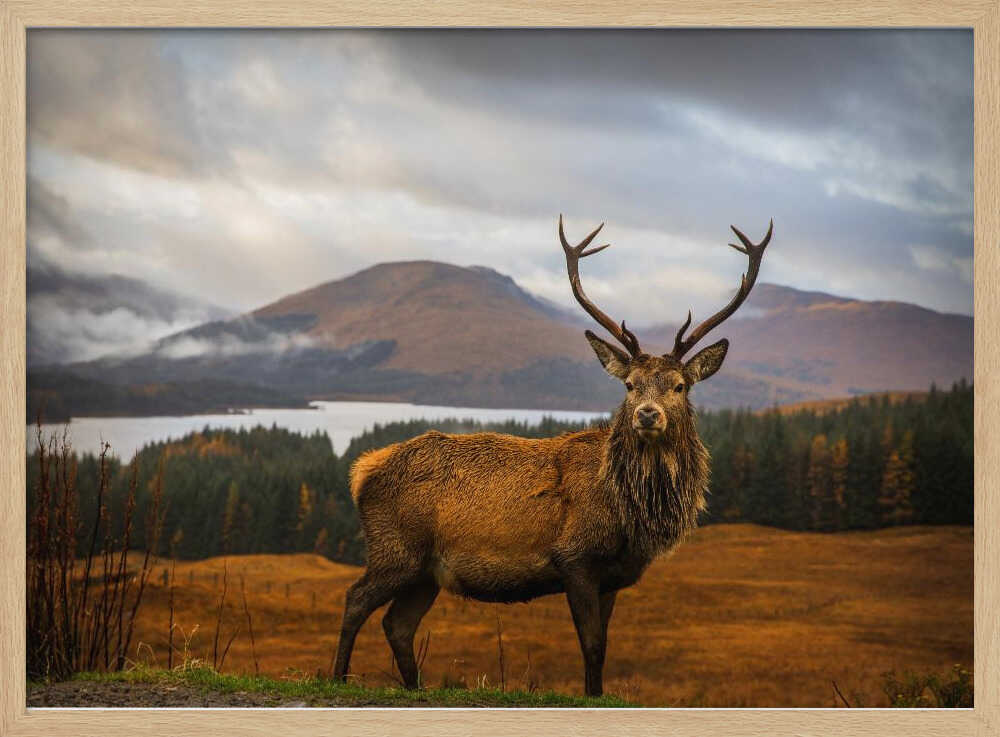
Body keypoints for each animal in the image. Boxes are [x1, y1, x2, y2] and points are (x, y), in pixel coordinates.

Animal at [332, 215, 772, 696]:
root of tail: (362, 470)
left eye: (679, 386)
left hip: (426, 572)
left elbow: (604, 646)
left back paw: (415, 689)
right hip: (395, 548)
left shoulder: (613, 576)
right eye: (630, 385)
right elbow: (592, 645)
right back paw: (337, 677)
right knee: (355, 600)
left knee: (398, 624)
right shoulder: (574, 557)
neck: (629, 515)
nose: (647, 414)